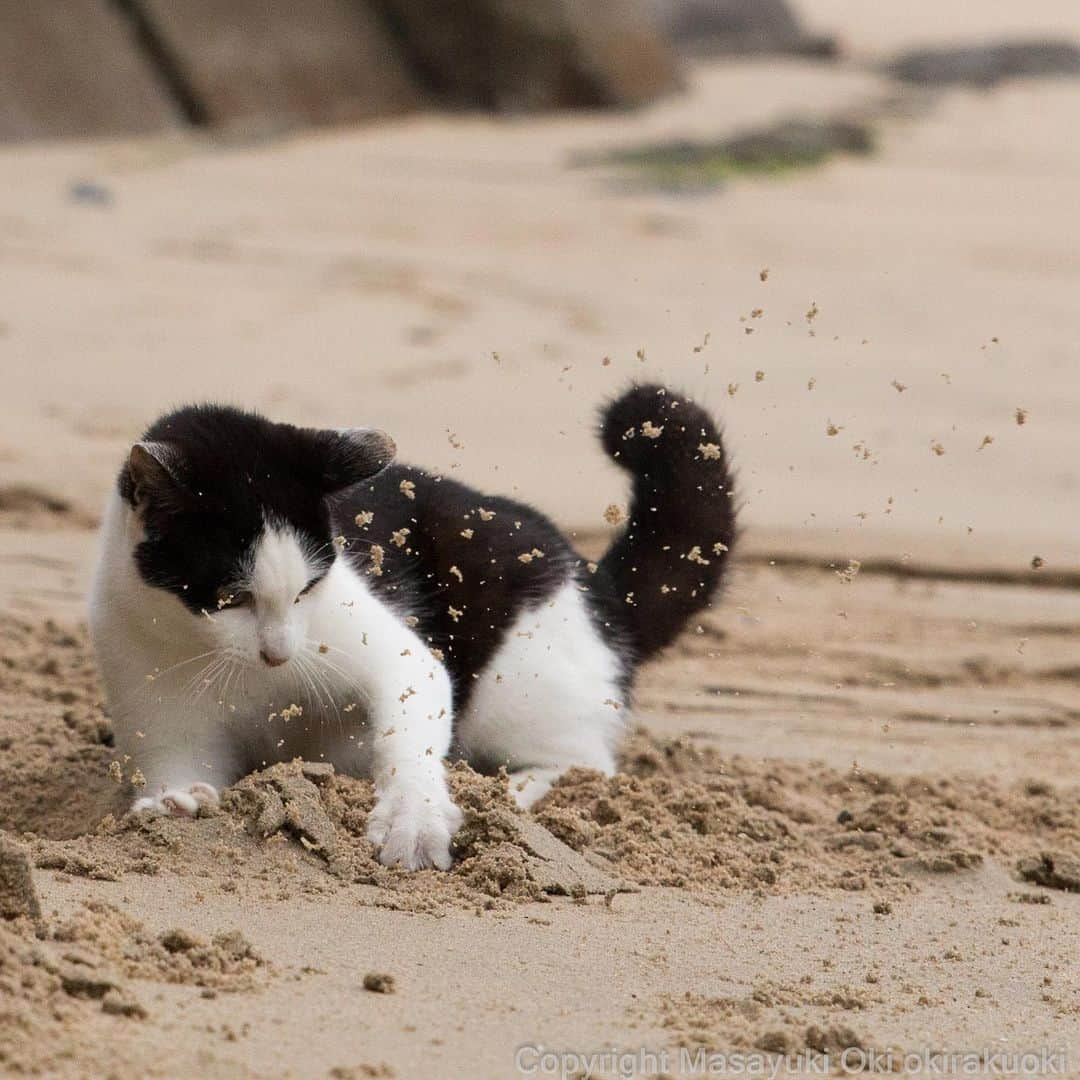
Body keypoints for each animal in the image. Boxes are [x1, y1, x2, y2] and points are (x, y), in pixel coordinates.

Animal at [90, 386, 734, 868]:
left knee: (586, 763)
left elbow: (408, 732)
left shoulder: (396, 655)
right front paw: (176, 803)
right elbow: (179, 767)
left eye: (308, 588)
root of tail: (599, 589)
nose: (280, 653)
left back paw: (513, 790)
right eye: (231, 598)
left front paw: (414, 820)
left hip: (519, 682)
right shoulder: (160, 713)